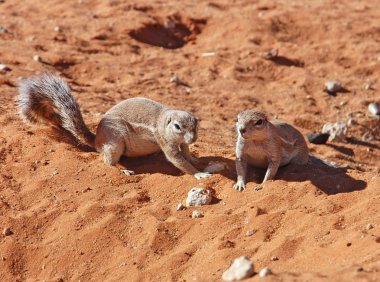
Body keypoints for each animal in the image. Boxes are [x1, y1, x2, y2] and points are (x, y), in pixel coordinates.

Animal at [17, 72, 212, 178]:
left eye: (196, 124)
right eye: (177, 126)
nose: (193, 138)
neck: (164, 121)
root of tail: (96, 139)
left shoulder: (183, 143)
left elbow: (186, 152)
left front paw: (195, 159)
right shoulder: (165, 141)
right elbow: (178, 160)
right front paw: (198, 173)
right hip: (115, 143)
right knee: (107, 161)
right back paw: (122, 170)